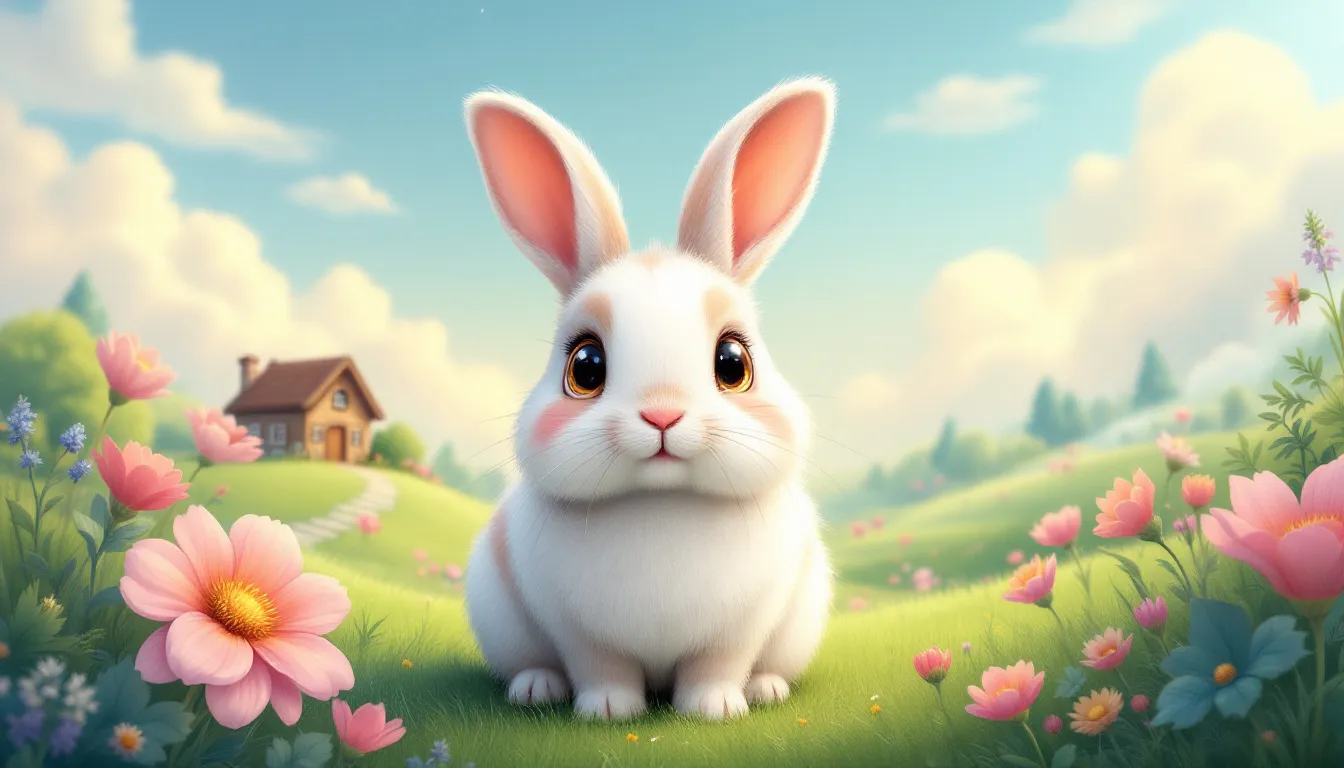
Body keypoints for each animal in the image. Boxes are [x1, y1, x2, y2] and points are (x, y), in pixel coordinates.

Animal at [461, 77, 837, 721]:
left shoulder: (740, 629)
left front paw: (714, 709)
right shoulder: (578, 631)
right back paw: (536, 689)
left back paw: (765, 690)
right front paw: (610, 711)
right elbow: (601, 668)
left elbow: (717, 666)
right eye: (585, 366)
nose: (663, 414)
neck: (661, 503)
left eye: (733, 363)